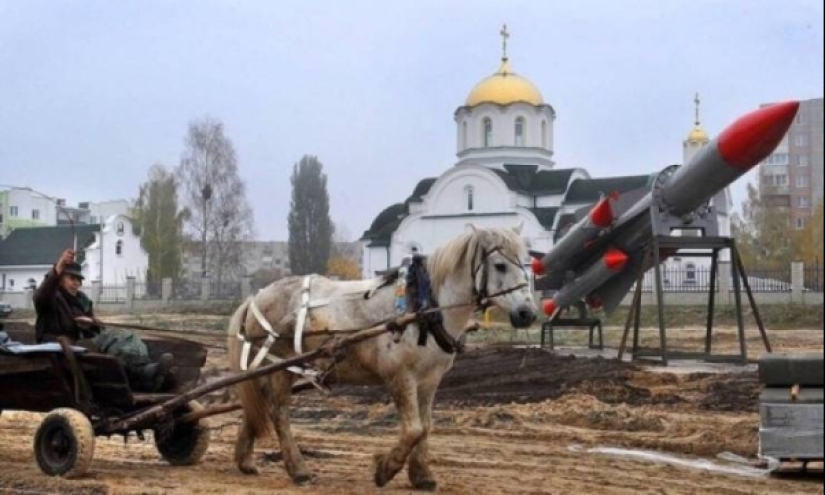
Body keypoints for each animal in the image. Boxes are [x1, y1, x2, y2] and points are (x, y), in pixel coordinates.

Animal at [225, 227, 536, 490]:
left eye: (527, 264)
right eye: (500, 265)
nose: (527, 314)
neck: (423, 308)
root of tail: (257, 296)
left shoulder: (429, 380)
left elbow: (426, 427)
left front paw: (422, 475)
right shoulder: (400, 377)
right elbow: (413, 429)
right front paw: (385, 469)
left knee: (257, 407)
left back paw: (245, 460)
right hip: (281, 367)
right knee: (278, 413)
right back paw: (298, 469)